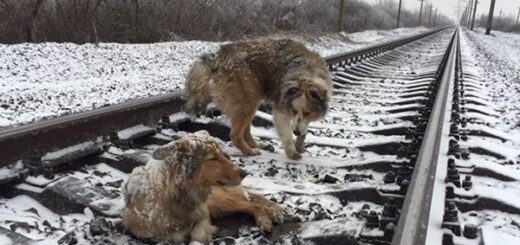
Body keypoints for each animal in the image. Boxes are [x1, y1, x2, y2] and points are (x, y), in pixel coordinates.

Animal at [121, 130, 284, 243]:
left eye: (222, 154)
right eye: (213, 158)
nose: (245, 173)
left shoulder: (203, 214)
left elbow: (197, 234)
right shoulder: (141, 229)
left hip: (218, 200)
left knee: (251, 204)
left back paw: (266, 219)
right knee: (250, 201)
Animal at [185, 39, 332, 160]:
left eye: (307, 113)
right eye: (293, 110)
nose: (295, 132)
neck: (307, 73)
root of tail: (216, 59)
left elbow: (303, 127)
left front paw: (299, 143)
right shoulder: (281, 109)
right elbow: (287, 134)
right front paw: (292, 151)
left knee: (246, 131)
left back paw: (258, 145)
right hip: (249, 100)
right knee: (235, 134)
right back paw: (249, 151)